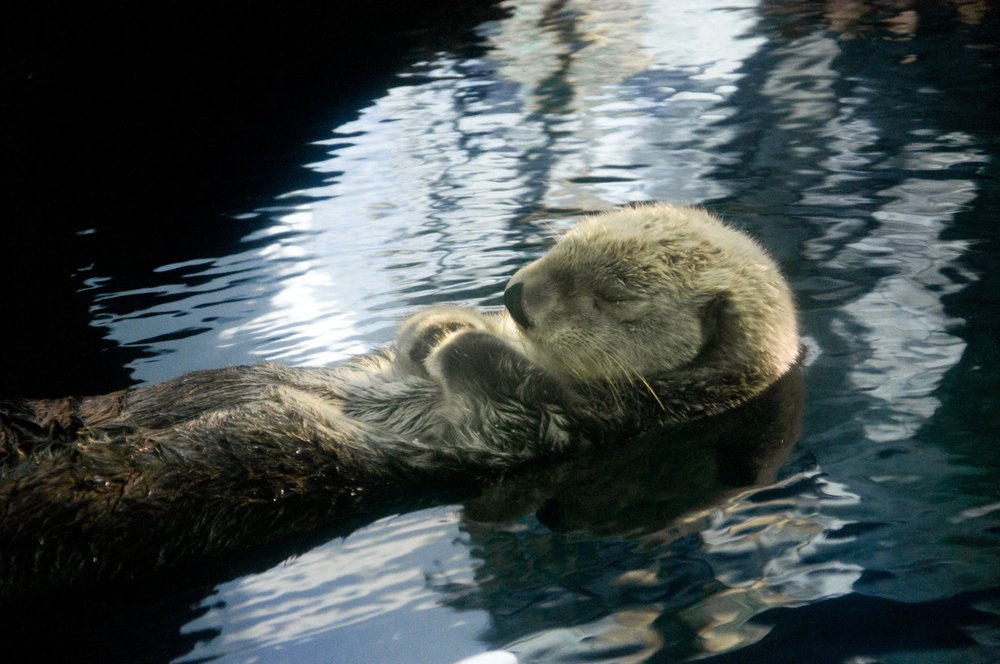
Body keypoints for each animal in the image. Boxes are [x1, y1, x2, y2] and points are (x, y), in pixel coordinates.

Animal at [0, 204, 799, 599]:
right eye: (563, 242)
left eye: (612, 298)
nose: (516, 293)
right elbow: (419, 348)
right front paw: (442, 325)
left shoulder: (580, 426)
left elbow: (511, 401)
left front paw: (464, 342)